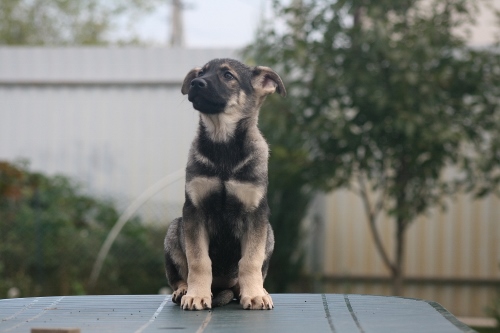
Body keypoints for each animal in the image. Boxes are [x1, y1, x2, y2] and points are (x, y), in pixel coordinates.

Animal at [164, 58, 286, 310]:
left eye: (228, 75)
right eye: (200, 73)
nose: (195, 83)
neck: (223, 145)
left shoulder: (255, 214)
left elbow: (250, 260)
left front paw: (255, 295)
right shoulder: (195, 212)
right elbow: (199, 260)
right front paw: (196, 295)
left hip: (269, 233)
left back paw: (256, 290)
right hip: (173, 230)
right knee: (179, 275)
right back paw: (183, 290)